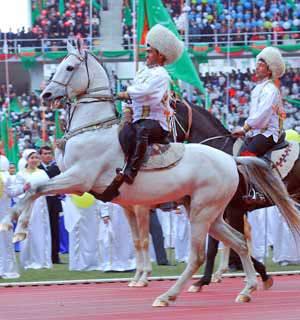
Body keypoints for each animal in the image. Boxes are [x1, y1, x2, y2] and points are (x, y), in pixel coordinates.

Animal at [2, 41, 300, 306]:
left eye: (70, 67)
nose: (46, 96)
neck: (93, 130)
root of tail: (232, 159)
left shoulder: (80, 180)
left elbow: (37, 190)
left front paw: (13, 227)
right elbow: (35, 190)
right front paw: (16, 225)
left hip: (204, 212)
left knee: (199, 255)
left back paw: (168, 295)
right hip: (209, 213)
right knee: (238, 241)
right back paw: (246, 289)